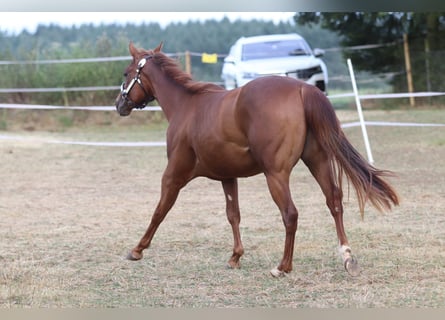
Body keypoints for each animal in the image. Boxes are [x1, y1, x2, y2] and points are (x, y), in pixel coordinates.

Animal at [115, 43, 398, 278]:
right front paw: (235, 257)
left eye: (127, 73)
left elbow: (159, 211)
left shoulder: (173, 175)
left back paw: (282, 267)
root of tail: (302, 88)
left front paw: (137, 250)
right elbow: (233, 215)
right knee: (334, 201)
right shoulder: (227, 177)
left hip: (276, 174)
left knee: (290, 214)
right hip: (317, 161)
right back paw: (347, 257)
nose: (119, 104)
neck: (187, 106)